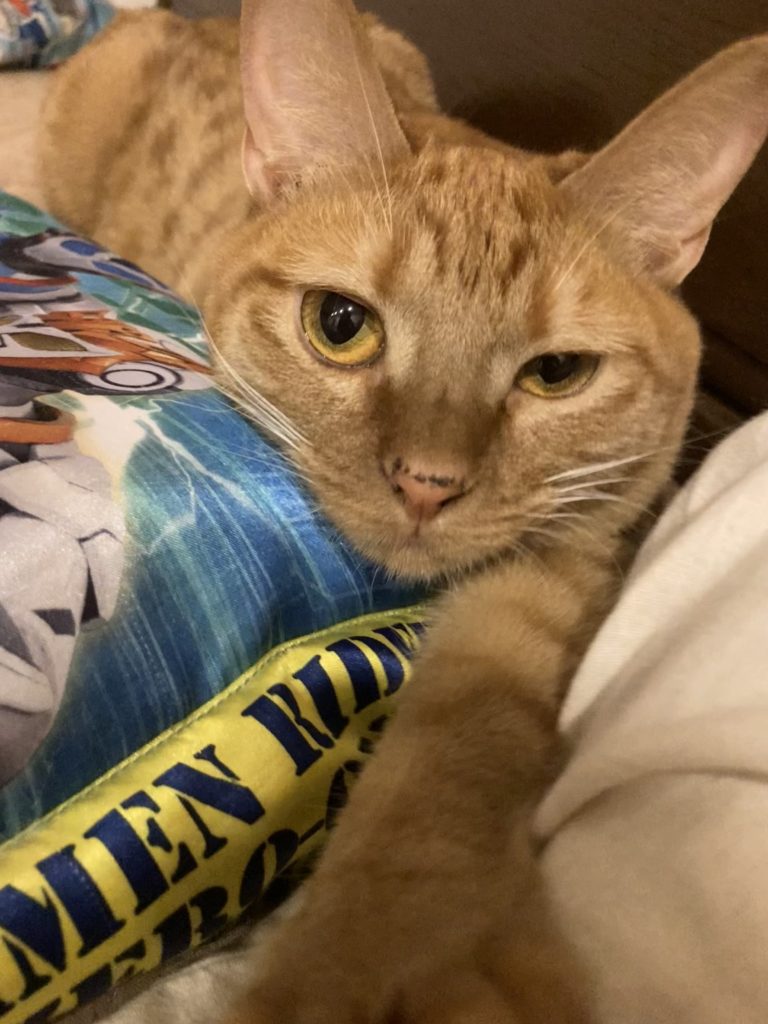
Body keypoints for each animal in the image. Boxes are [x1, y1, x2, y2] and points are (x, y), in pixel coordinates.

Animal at [40, 2, 768, 1021]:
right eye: (341, 326)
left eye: (557, 373)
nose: (427, 482)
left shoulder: (570, 556)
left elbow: (449, 771)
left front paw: (394, 951)